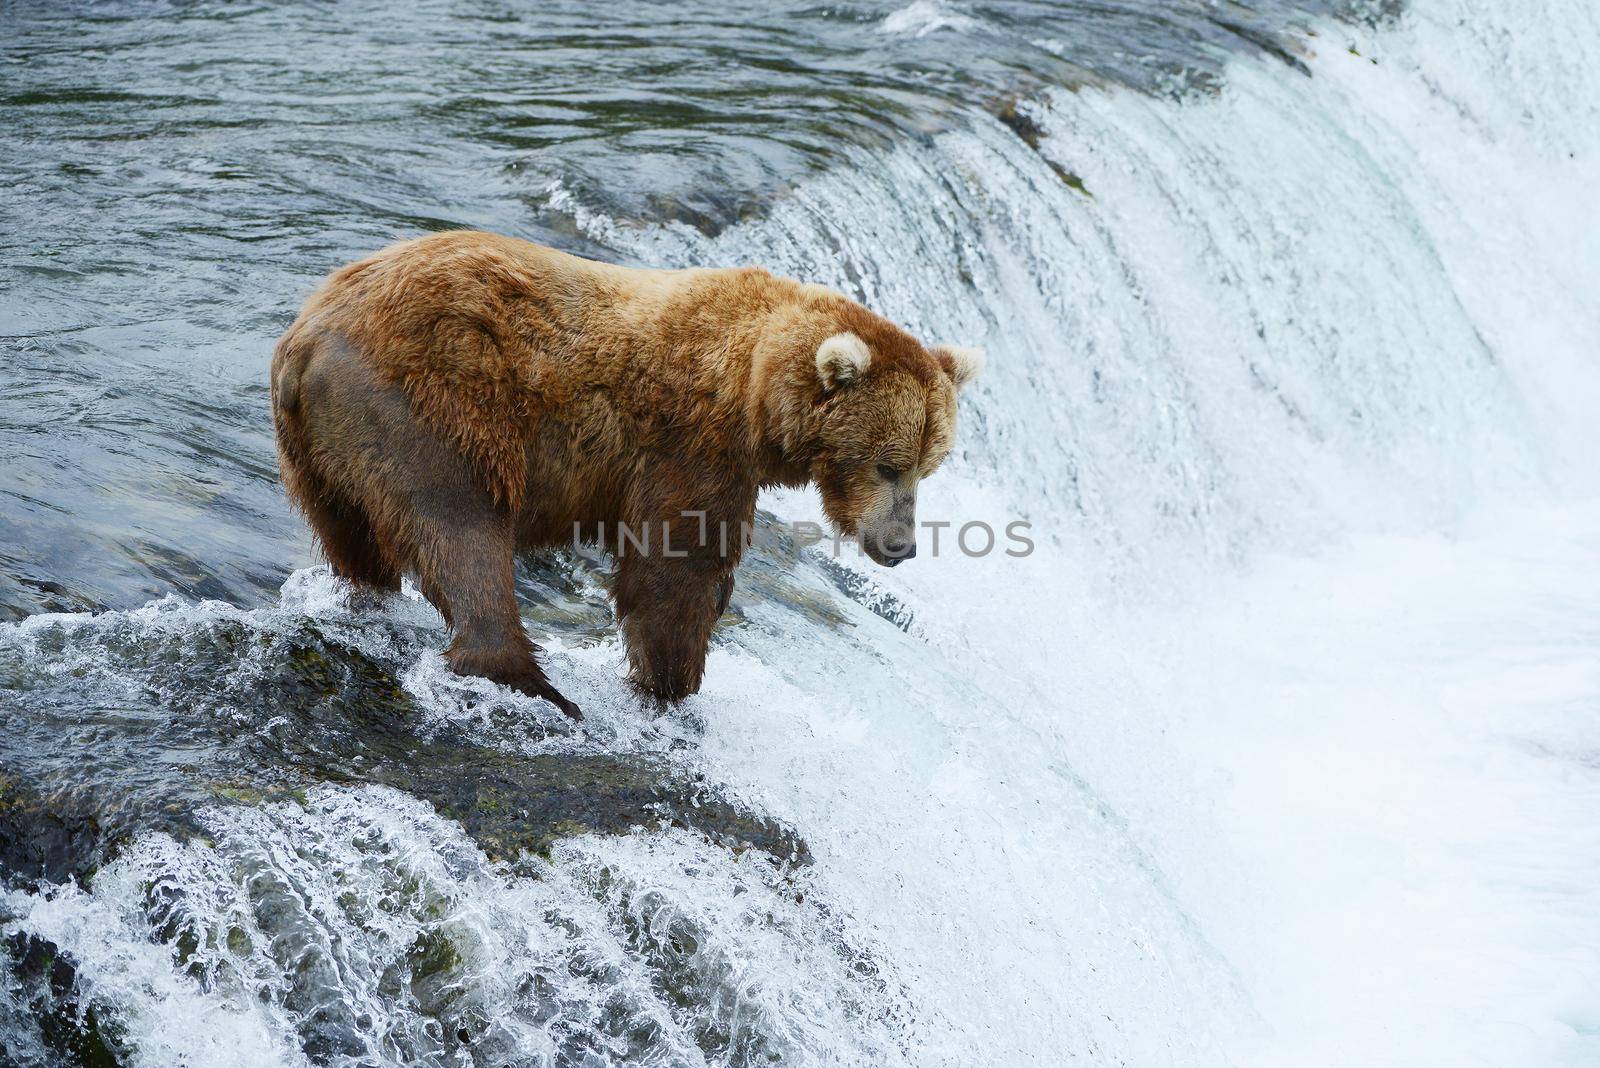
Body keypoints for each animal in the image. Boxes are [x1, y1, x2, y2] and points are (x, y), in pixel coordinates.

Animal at [268, 231, 979, 716]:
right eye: (888, 464)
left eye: (928, 464)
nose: (900, 545)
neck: (756, 394)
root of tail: (306, 338)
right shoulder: (689, 444)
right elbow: (675, 568)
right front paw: (671, 681)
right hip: (431, 407)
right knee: (461, 530)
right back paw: (529, 679)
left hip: (319, 453)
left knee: (354, 535)